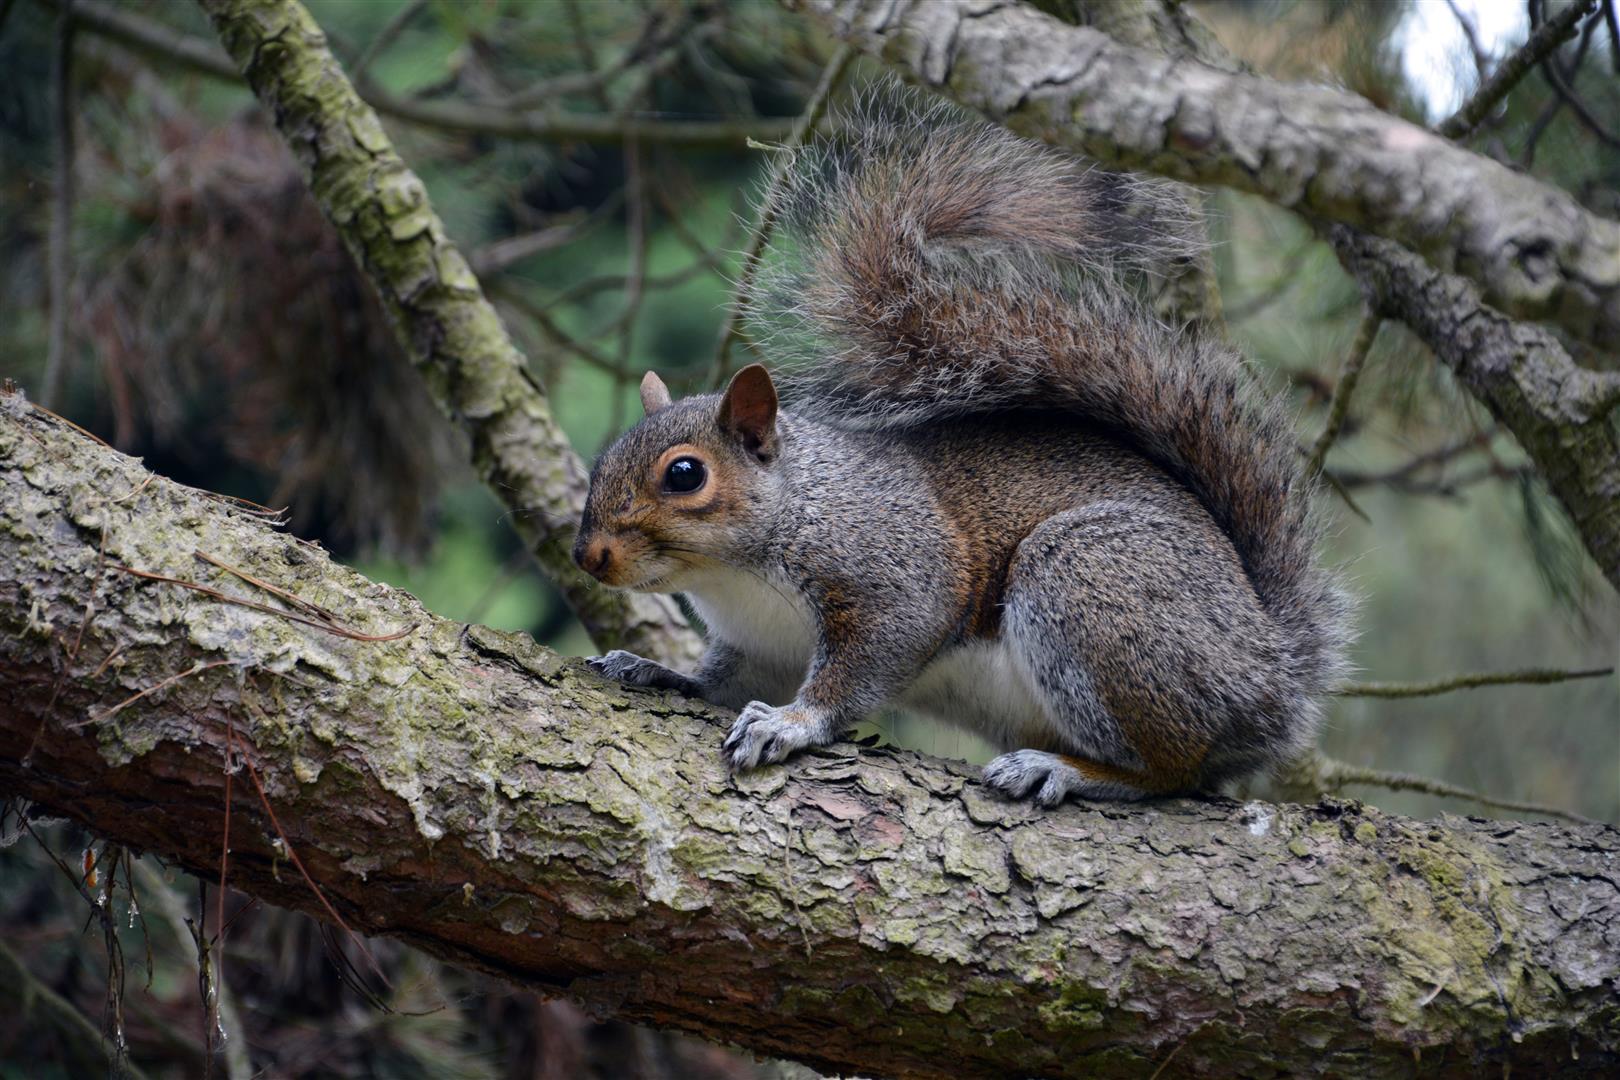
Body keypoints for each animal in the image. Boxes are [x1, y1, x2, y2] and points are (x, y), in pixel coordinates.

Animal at [573, 95, 1351, 804]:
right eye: (604, 460)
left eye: (684, 474)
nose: (589, 556)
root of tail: (1272, 671)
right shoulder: (762, 646)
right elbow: (722, 682)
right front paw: (658, 671)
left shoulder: (895, 572)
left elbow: (868, 661)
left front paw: (791, 723)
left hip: (1095, 583)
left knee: (1174, 769)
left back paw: (1063, 769)